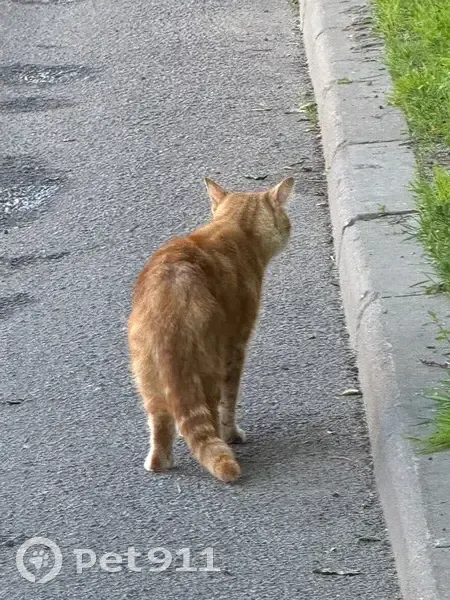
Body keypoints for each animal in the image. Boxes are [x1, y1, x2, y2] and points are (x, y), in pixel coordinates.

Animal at [128, 176, 294, 482]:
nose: (289, 229)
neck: (232, 226)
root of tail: (170, 300)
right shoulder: (236, 345)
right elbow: (230, 401)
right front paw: (233, 435)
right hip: (210, 365)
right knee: (212, 414)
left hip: (145, 373)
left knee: (160, 423)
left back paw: (158, 463)